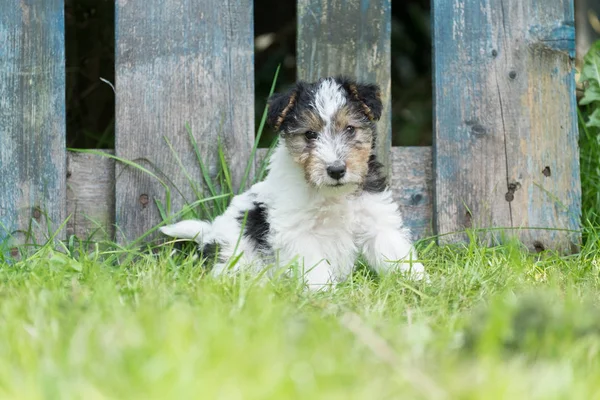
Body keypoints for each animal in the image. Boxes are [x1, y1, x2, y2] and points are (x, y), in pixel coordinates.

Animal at [161, 76, 426, 290]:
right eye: (310, 134)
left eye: (350, 129)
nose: (336, 170)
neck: (332, 195)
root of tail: (210, 234)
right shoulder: (298, 233)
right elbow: (315, 266)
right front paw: (324, 293)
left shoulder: (376, 219)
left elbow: (394, 250)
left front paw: (417, 282)